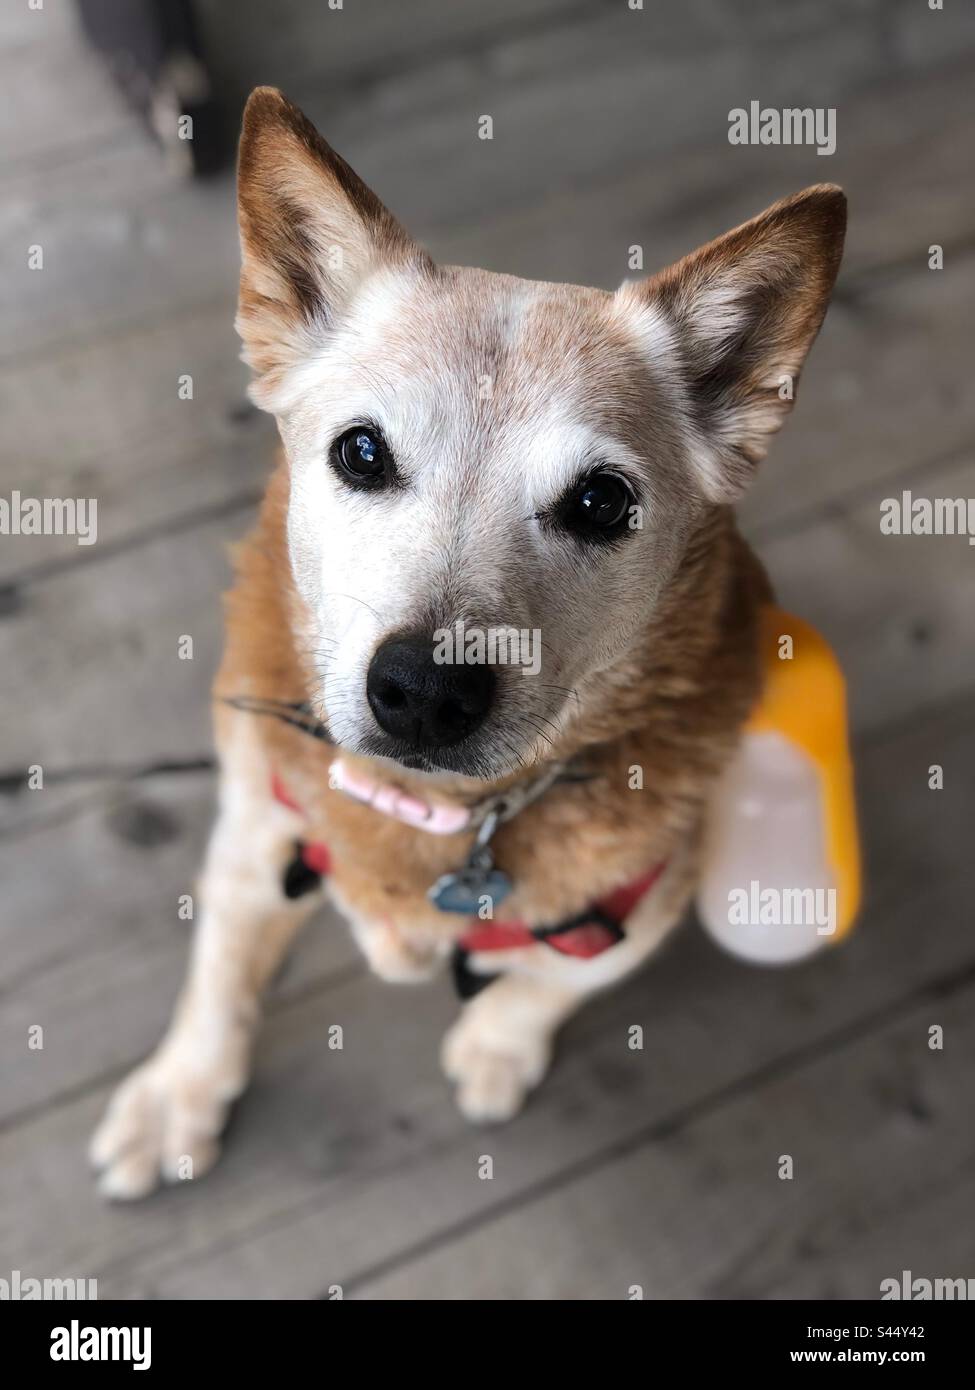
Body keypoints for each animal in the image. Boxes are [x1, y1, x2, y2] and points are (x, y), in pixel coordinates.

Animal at [87, 86, 840, 1200]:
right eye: (361, 452)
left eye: (601, 502)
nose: (426, 690)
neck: (433, 819)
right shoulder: (253, 834)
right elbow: (218, 973)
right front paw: (179, 1090)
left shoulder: (645, 898)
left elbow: (553, 980)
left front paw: (497, 1044)